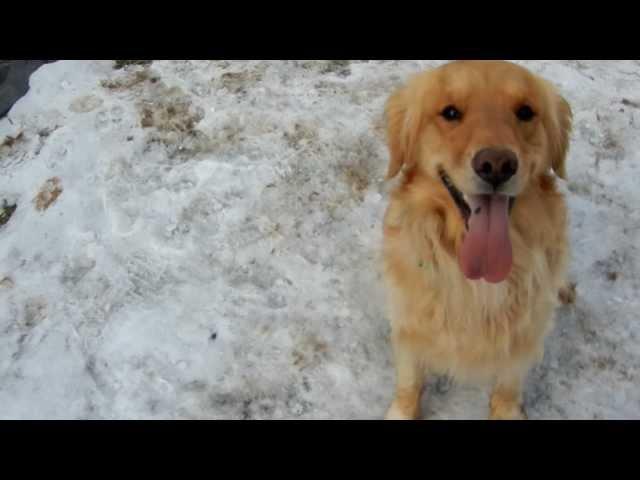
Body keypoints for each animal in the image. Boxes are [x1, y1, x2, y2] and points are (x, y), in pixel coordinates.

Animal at [382, 61, 572, 420]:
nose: (496, 165)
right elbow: (409, 380)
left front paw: (506, 409)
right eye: (450, 112)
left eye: (525, 112)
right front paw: (403, 409)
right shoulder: (410, 322)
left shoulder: (525, 332)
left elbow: (509, 381)